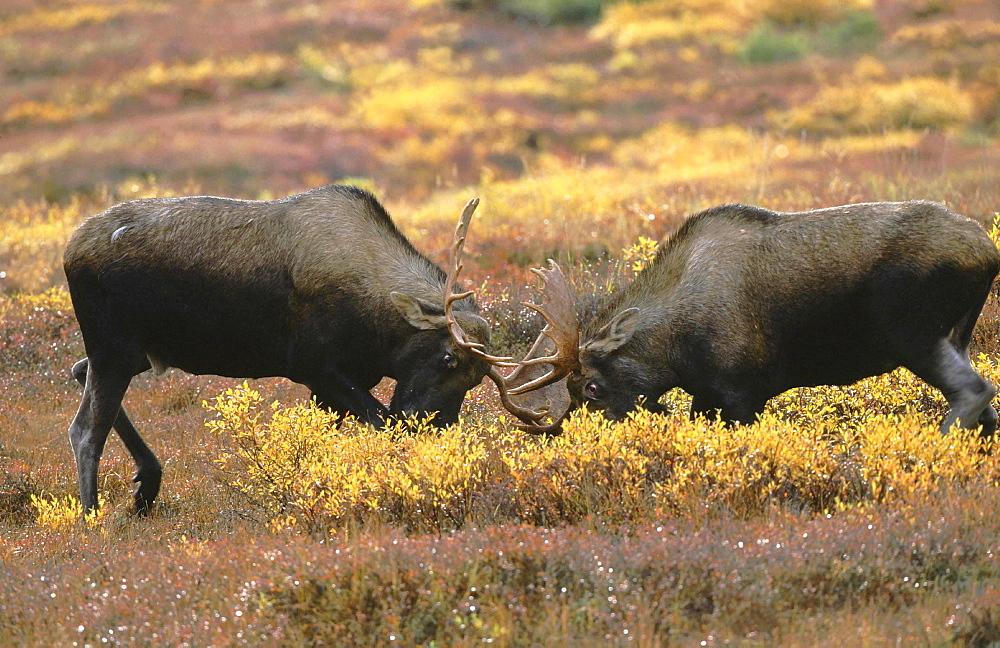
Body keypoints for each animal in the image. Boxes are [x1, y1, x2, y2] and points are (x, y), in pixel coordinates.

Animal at [63, 182, 528, 512]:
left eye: (475, 381)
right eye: (447, 357)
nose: (429, 426)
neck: (379, 326)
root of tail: (69, 249)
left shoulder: (340, 383)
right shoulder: (316, 368)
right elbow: (377, 425)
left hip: (135, 352)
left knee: (78, 370)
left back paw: (146, 484)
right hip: (114, 349)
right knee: (85, 429)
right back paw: (93, 516)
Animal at [500, 202, 1000, 436]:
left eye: (592, 387)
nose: (566, 436)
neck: (672, 350)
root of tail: (987, 252)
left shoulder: (742, 393)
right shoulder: (707, 396)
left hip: (913, 333)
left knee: (975, 392)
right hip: (957, 334)